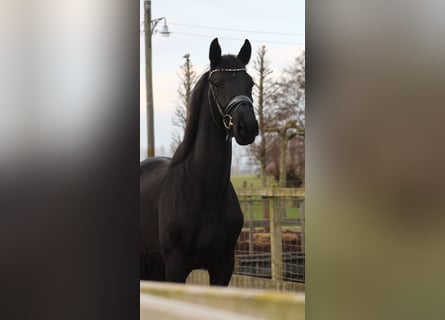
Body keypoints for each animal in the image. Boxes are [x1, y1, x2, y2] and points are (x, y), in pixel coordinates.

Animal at [139, 38, 256, 284]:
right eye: (217, 83)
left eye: (250, 83)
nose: (247, 127)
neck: (206, 192)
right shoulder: (175, 267)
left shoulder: (223, 267)